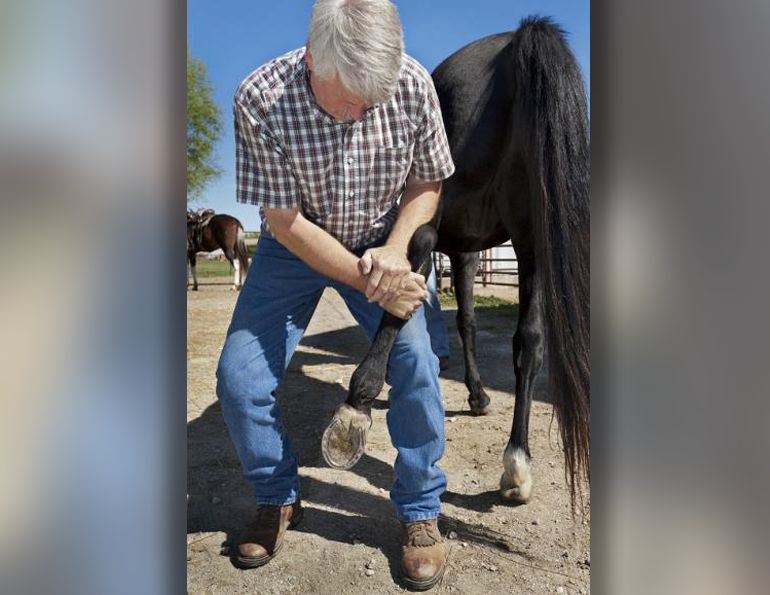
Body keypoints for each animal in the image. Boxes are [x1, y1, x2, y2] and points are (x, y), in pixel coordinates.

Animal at [321, 17, 590, 505]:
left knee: (422, 254)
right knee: (530, 340)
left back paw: (360, 400)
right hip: (531, 239)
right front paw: (476, 394)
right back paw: (517, 464)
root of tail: (516, 44)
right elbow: (468, 320)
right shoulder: (470, 250)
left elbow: (443, 310)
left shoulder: (457, 244)